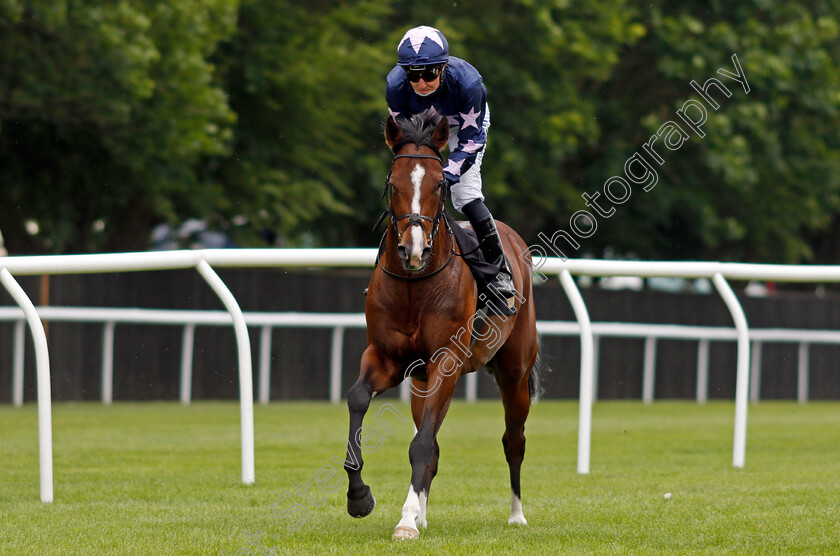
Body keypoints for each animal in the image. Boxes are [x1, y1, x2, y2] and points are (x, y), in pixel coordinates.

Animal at [344, 108, 540, 540]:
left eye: (437, 184)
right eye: (393, 183)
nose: (413, 249)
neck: (414, 286)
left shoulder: (446, 361)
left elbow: (421, 444)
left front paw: (405, 522)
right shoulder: (386, 358)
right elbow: (359, 399)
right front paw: (361, 497)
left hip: (514, 372)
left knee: (513, 440)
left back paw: (517, 515)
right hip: (422, 382)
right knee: (431, 441)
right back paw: (421, 512)